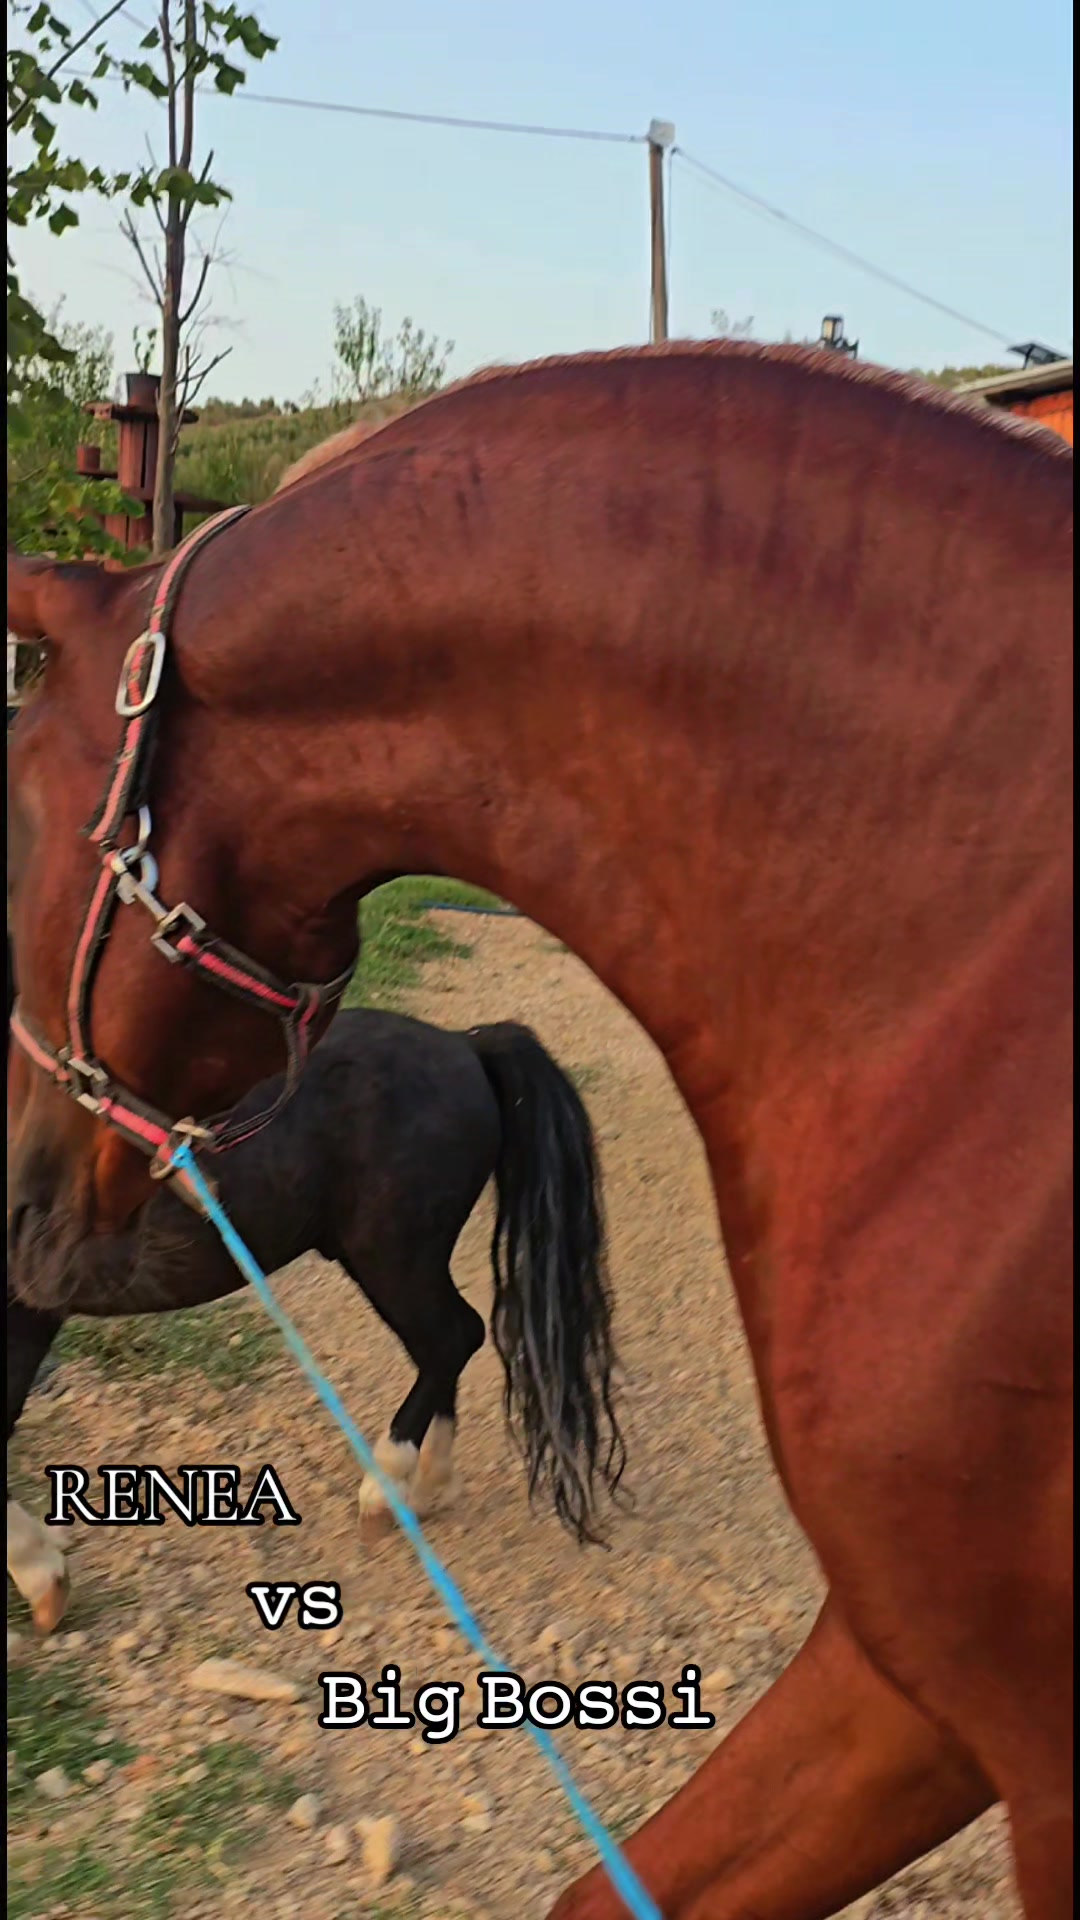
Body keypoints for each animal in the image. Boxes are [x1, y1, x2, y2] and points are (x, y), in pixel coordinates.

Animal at [6, 938, 623, 1630]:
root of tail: (463, 1045)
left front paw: (40, 1574)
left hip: (392, 1254)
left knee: (451, 1338)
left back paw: (387, 1488)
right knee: (446, 1344)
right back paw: (428, 1486)